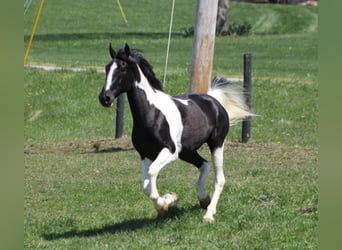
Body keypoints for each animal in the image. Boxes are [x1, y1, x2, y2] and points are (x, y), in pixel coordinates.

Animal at [97, 43, 252, 223]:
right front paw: (168, 200)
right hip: (186, 151)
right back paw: (203, 199)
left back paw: (209, 214)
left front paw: (164, 204)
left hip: (216, 144)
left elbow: (152, 174)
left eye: (122, 68)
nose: (105, 98)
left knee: (219, 179)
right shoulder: (145, 154)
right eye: (107, 67)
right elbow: (146, 186)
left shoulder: (170, 151)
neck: (152, 114)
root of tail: (214, 101)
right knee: (204, 164)